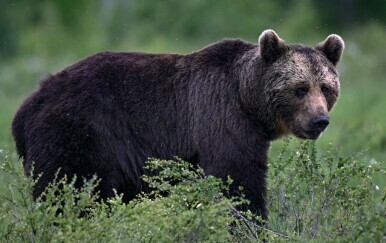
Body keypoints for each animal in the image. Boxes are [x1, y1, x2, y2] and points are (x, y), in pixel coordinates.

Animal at [11, 29, 344, 219]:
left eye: (326, 88)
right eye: (300, 88)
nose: (319, 120)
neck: (246, 98)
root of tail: (24, 109)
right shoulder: (220, 119)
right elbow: (237, 179)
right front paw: (250, 221)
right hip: (79, 132)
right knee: (68, 193)